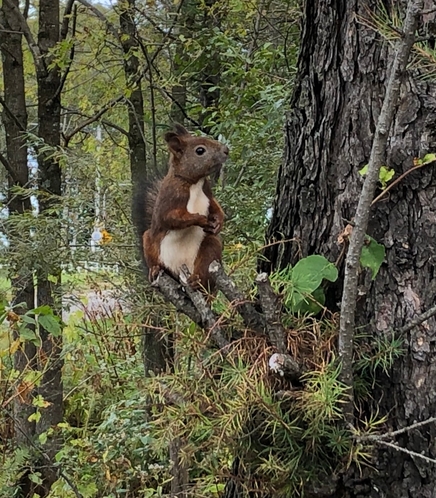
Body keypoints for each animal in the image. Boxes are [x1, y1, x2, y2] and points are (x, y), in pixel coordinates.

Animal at [141, 122, 230, 290]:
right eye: (200, 150)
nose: (226, 150)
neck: (194, 182)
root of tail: (180, 272)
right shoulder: (168, 200)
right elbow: (172, 218)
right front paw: (200, 219)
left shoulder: (208, 194)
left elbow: (215, 206)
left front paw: (218, 222)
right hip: (149, 241)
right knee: (154, 256)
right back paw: (155, 269)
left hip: (210, 247)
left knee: (205, 267)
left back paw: (196, 280)